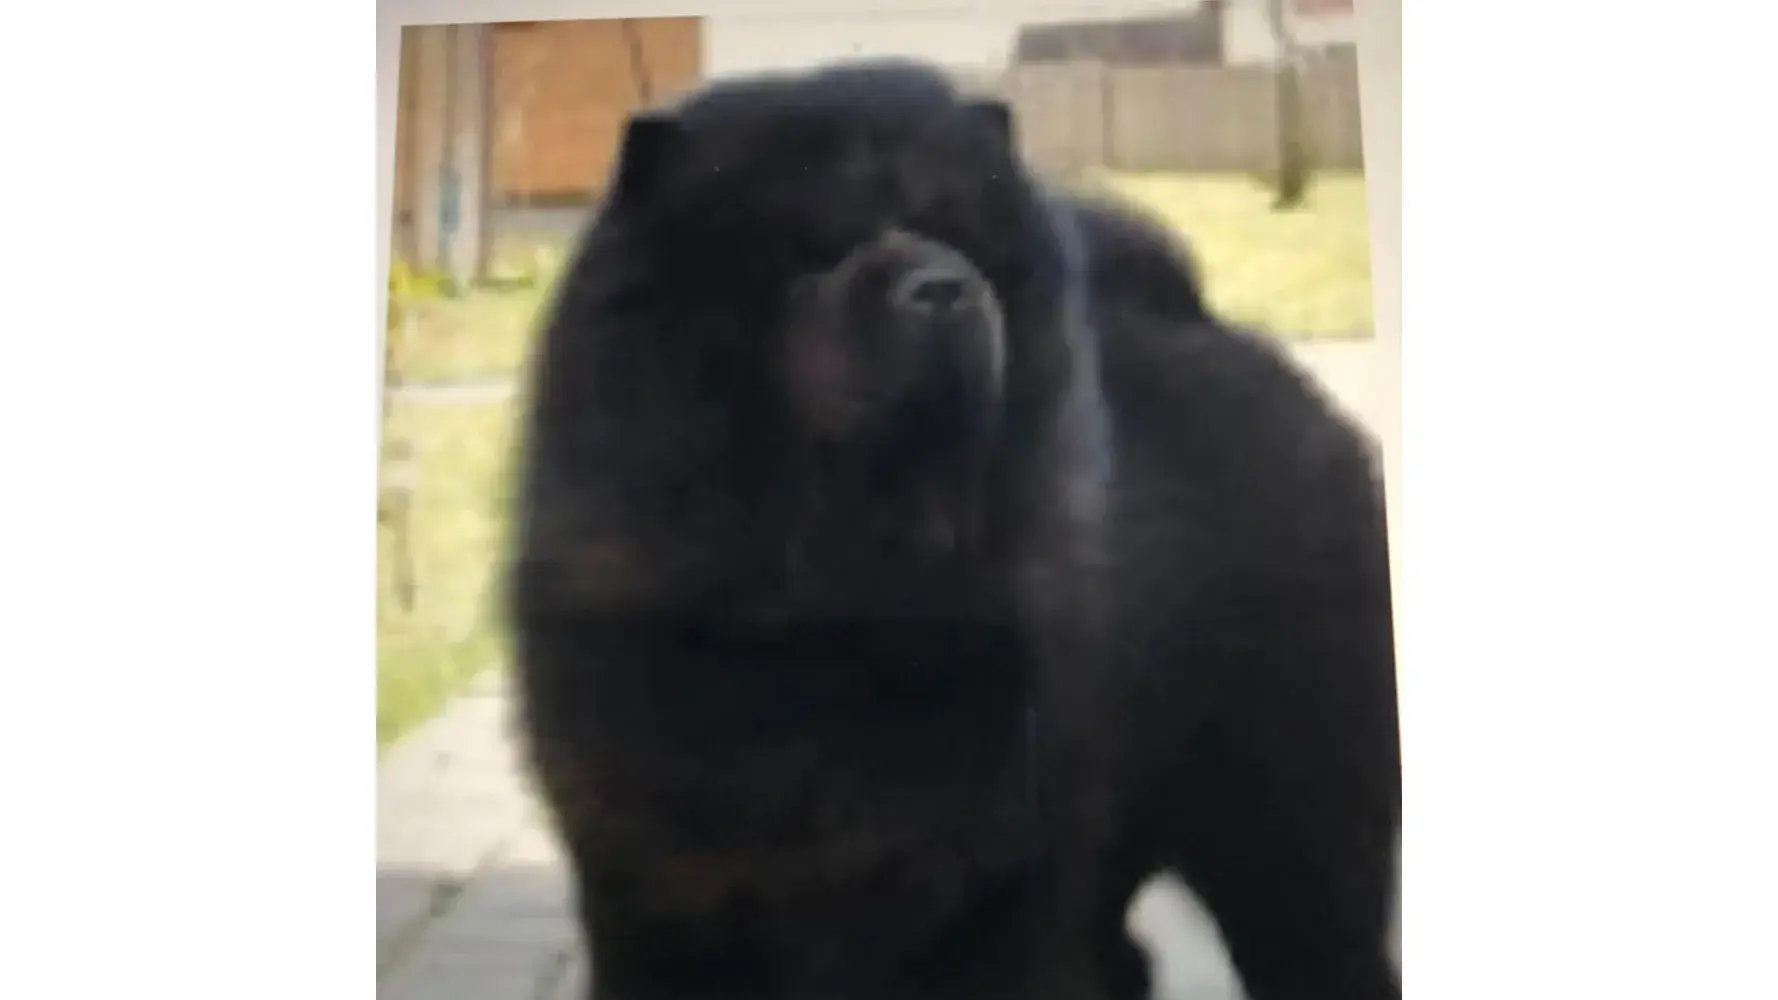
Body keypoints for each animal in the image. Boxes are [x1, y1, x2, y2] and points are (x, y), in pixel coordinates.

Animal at [505, 58, 1402, 1000]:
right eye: (816, 253)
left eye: (955, 237)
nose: (942, 286)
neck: (836, 610)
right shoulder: (658, 889)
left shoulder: (986, 891)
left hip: (1286, 825)